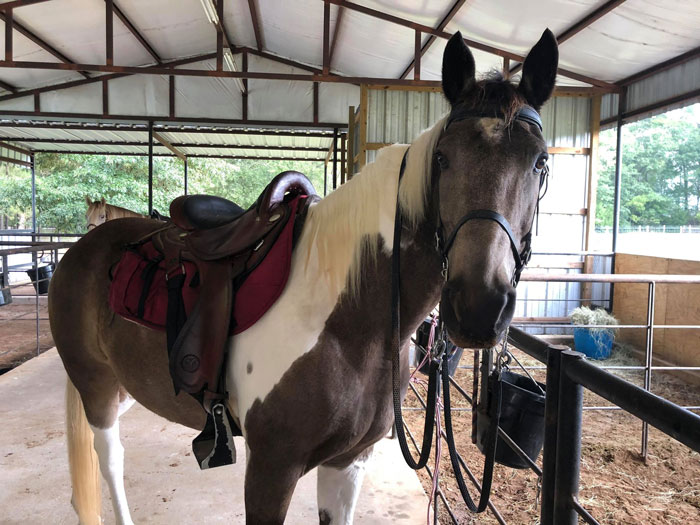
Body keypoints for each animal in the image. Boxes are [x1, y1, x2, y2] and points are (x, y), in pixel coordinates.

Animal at [49, 32, 556, 524]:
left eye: (539, 162)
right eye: (444, 159)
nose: (479, 308)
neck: (350, 318)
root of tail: (85, 247)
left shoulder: (347, 462)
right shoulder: (271, 469)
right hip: (95, 385)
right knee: (109, 459)